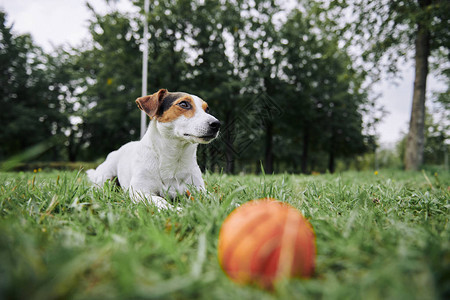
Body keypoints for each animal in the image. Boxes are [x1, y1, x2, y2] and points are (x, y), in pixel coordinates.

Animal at [85, 89, 221, 210]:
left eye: (207, 109)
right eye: (183, 104)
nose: (217, 124)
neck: (174, 157)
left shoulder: (199, 190)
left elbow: (214, 197)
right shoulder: (140, 192)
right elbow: (160, 200)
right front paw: (176, 210)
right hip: (105, 175)